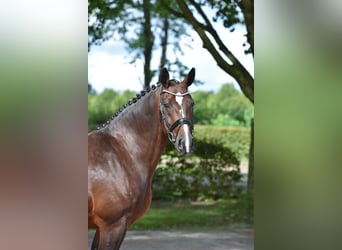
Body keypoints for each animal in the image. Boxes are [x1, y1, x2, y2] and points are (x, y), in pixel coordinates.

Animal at [88, 67, 195, 249]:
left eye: (191, 103)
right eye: (166, 104)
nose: (186, 144)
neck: (121, 152)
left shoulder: (101, 228)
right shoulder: (112, 226)